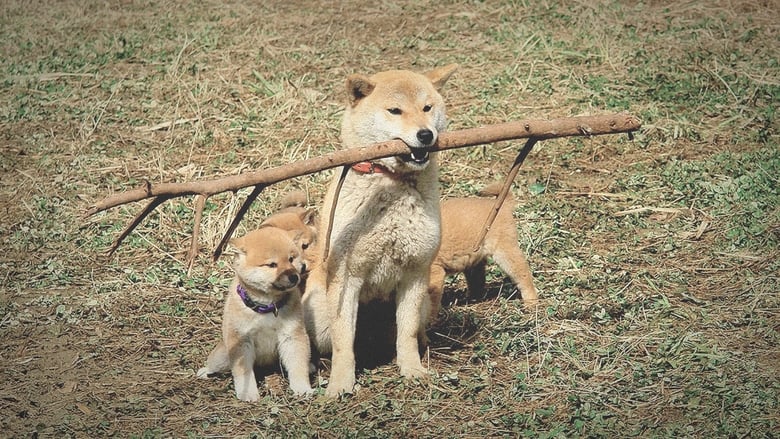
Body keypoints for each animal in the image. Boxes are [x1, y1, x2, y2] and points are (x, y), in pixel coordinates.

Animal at [197, 227, 312, 402]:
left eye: (291, 259)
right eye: (272, 264)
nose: (294, 276)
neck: (267, 307)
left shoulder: (292, 336)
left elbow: (298, 365)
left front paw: (302, 388)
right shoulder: (241, 341)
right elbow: (244, 373)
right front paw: (248, 394)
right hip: (223, 355)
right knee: (215, 365)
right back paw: (205, 371)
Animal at [300, 65, 458, 398]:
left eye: (427, 108)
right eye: (395, 111)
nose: (425, 134)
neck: (391, 184)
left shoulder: (415, 272)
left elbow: (406, 336)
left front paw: (412, 371)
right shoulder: (346, 278)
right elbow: (343, 346)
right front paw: (340, 385)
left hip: (423, 303)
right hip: (319, 310)